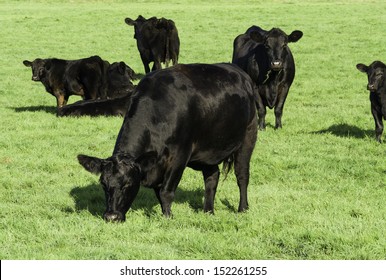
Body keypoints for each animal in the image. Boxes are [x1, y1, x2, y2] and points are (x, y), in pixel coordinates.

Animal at [77, 62, 258, 222]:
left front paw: (168, 219)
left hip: (248, 137)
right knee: (212, 177)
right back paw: (208, 211)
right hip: (208, 149)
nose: (111, 217)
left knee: (242, 175)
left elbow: (166, 192)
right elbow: (159, 193)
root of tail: (240, 72)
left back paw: (243, 209)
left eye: (128, 184)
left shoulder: (180, 156)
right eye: (103, 184)